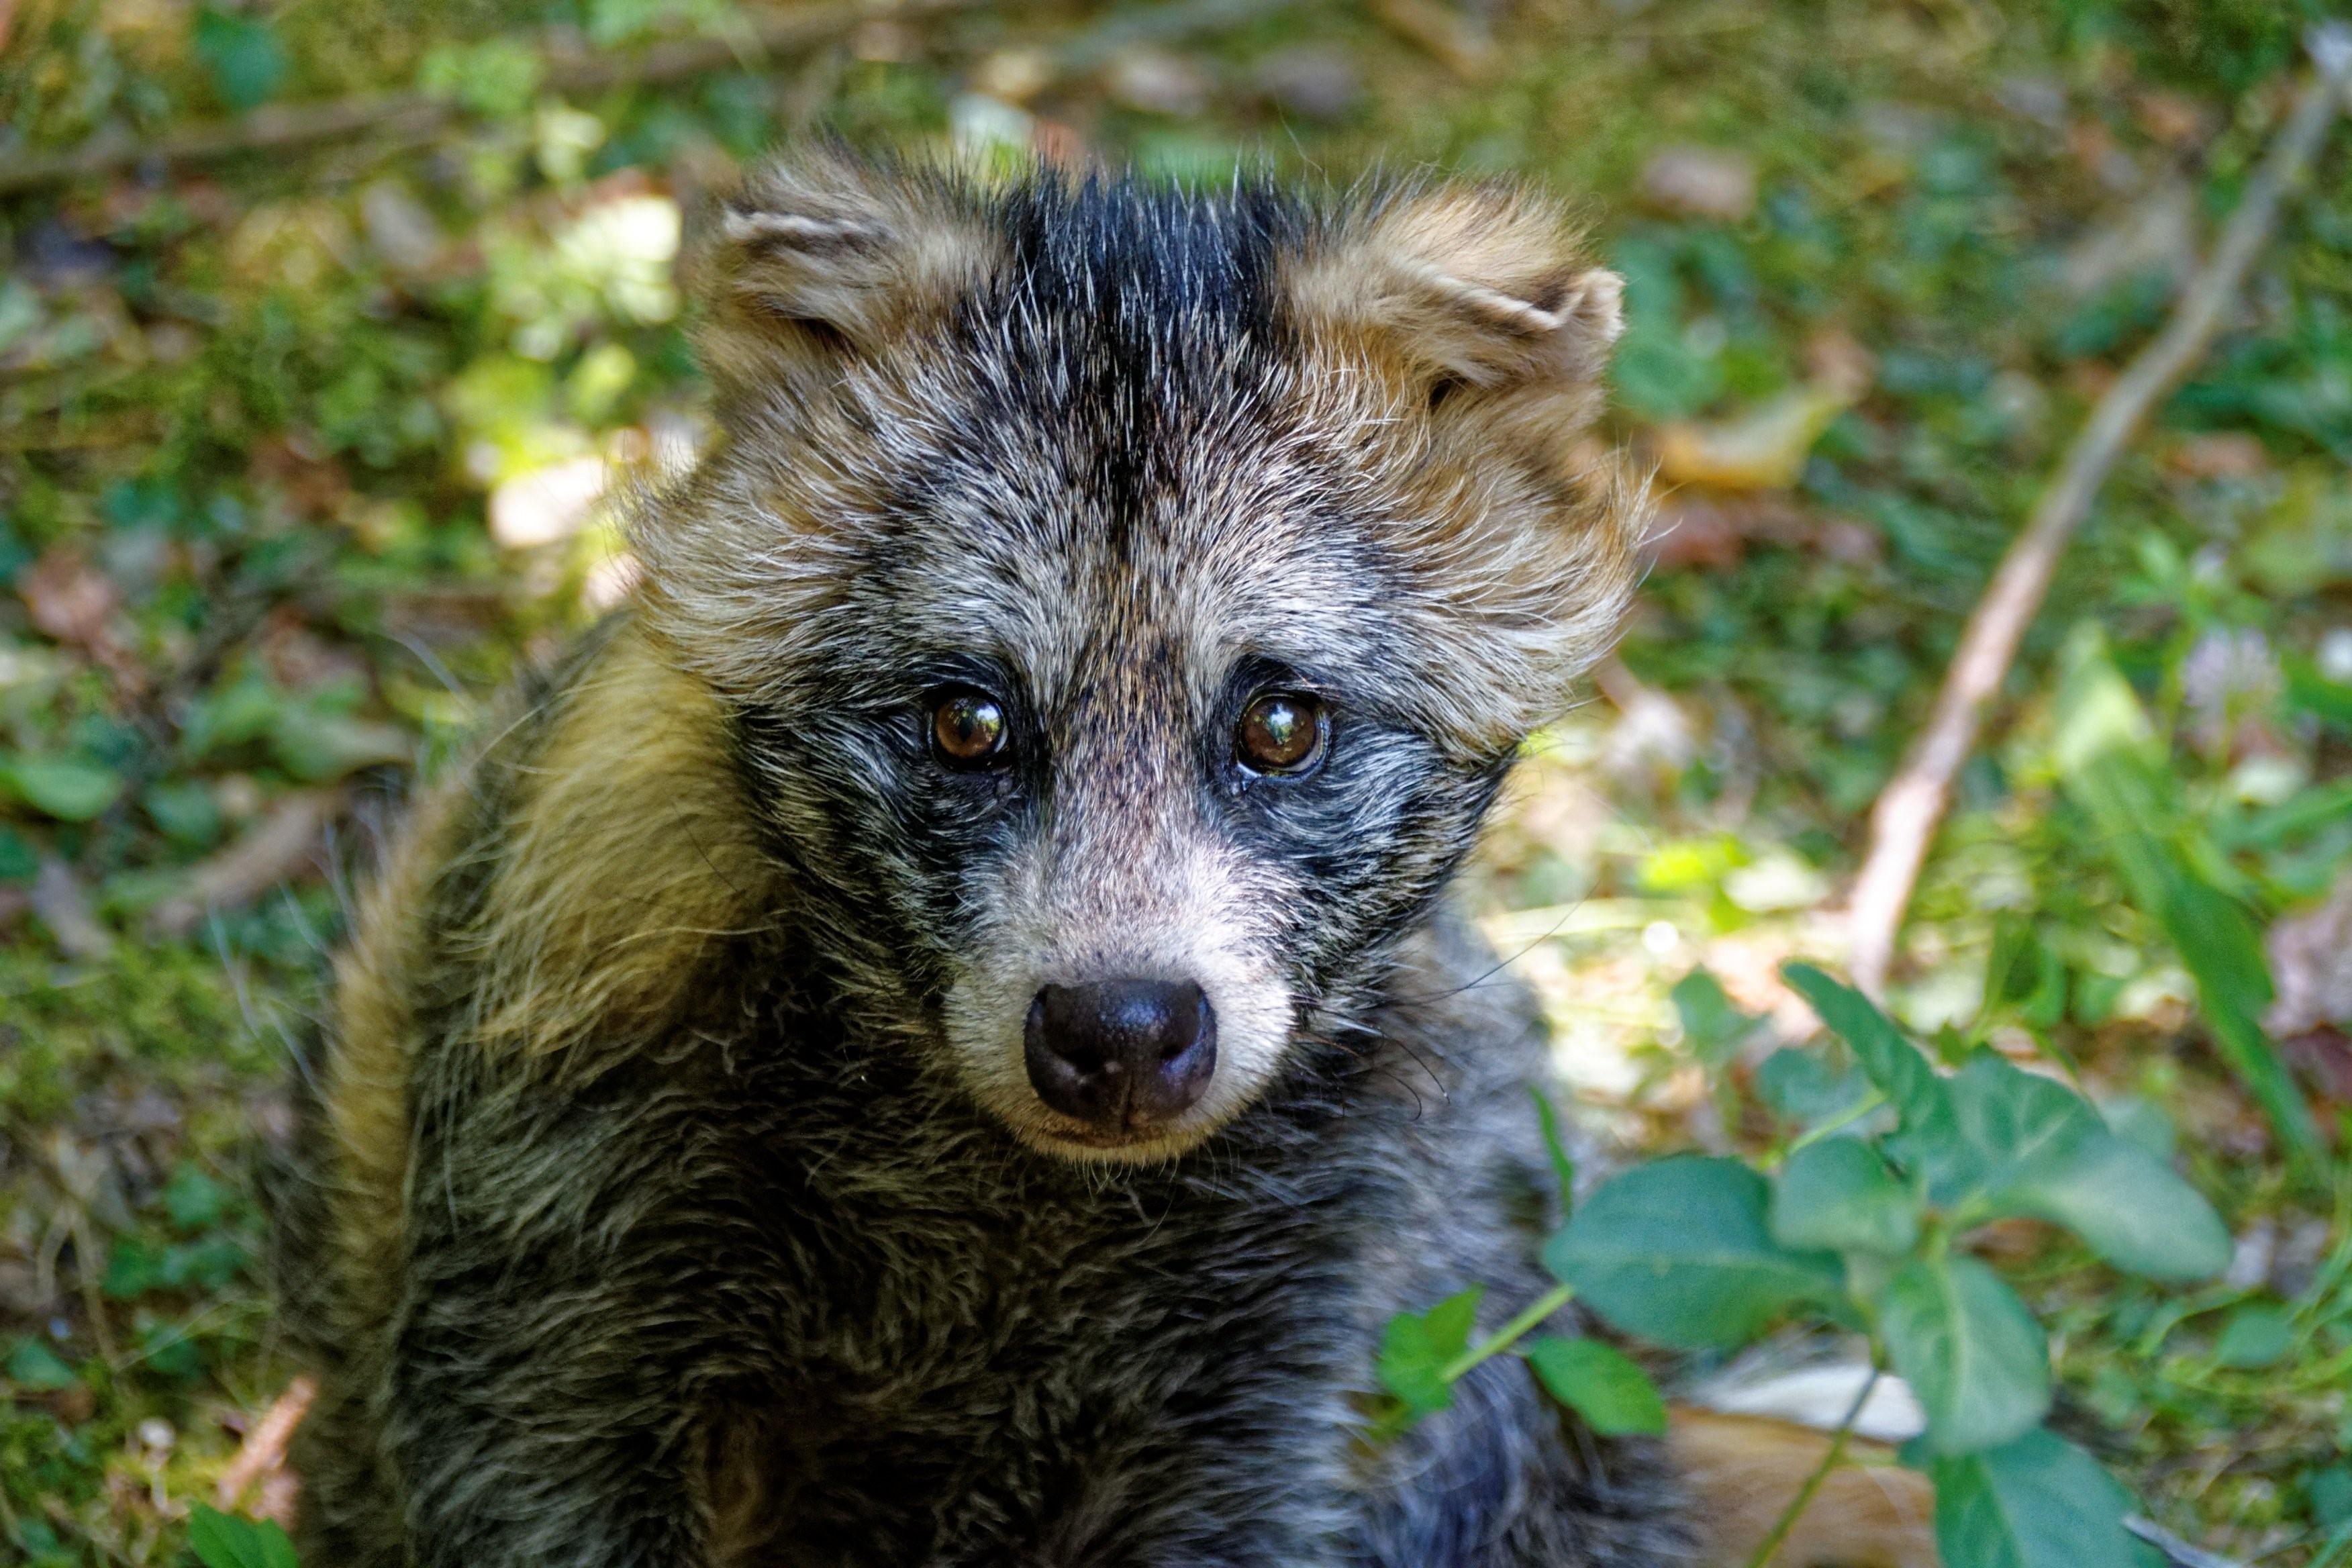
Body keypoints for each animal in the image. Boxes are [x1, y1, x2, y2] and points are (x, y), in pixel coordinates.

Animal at [284, 150, 1721, 1568]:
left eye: (1279, 723)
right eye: (964, 721)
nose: (1121, 1031)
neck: (1018, 1189)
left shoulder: (1312, 1302)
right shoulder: (558, 1175)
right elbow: (527, 1475)